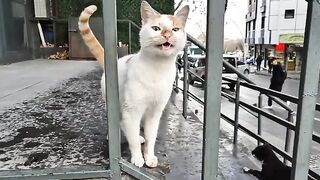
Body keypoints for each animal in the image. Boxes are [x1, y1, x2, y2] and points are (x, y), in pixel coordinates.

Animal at [79, 1, 189, 167]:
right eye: (156, 28)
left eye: (175, 29)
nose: (167, 34)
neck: (157, 69)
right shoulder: (131, 111)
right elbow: (133, 140)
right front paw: (137, 158)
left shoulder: (154, 113)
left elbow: (151, 138)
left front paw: (149, 157)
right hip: (115, 104)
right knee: (120, 123)